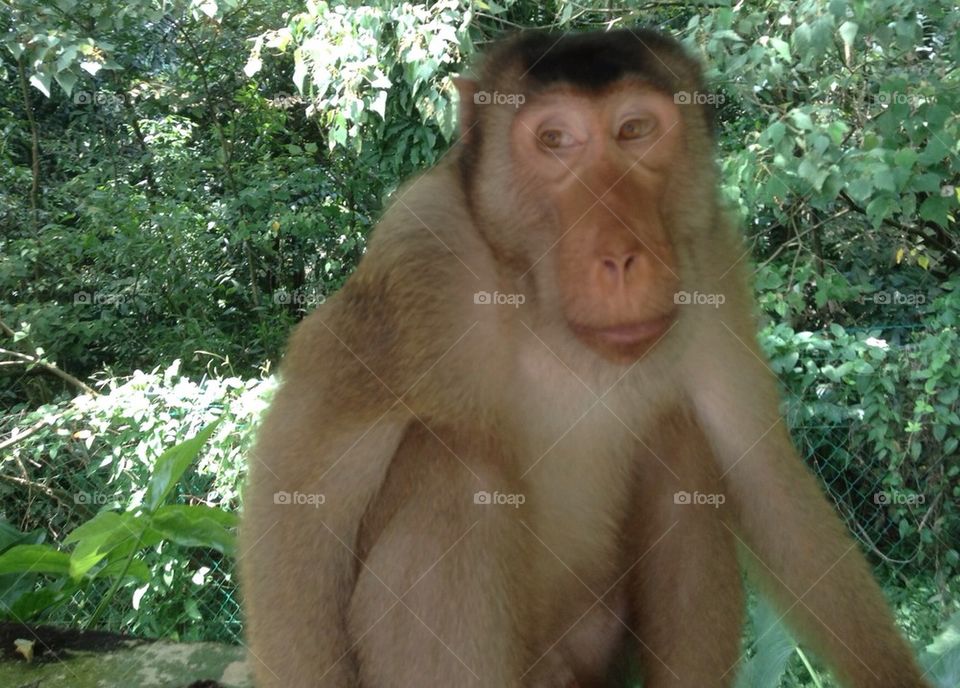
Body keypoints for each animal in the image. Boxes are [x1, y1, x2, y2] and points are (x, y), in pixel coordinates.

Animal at [239, 29, 931, 688]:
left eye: (635, 130)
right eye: (555, 140)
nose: (621, 255)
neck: (547, 319)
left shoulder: (713, 259)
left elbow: (762, 470)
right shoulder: (421, 254)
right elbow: (304, 484)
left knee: (683, 446)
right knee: (458, 475)